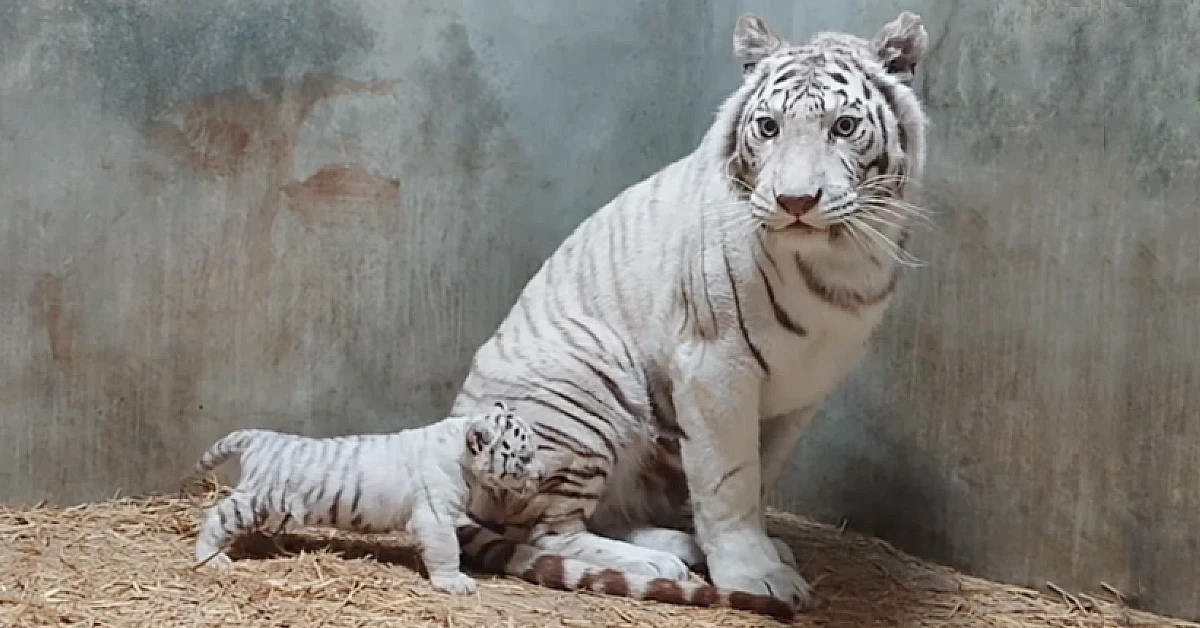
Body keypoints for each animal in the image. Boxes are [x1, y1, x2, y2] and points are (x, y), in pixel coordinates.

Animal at [184, 401, 542, 597]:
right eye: (524, 458)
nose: (540, 477)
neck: (461, 454)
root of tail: (259, 437)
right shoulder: (435, 515)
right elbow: (446, 549)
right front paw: (454, 582)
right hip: (255, 500)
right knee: (216, 517)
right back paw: (211, 558)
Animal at [446, 11, 931, 619]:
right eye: (768, 127)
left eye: (843, 127)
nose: (796, 202)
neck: (839, 262)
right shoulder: (714, 366)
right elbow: (729, 479)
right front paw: (754, 574)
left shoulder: (805, 389)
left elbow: (761, 474)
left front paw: (761, 548)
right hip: (588, 367)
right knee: (545, 533)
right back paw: (660, 562)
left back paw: (679, 543)